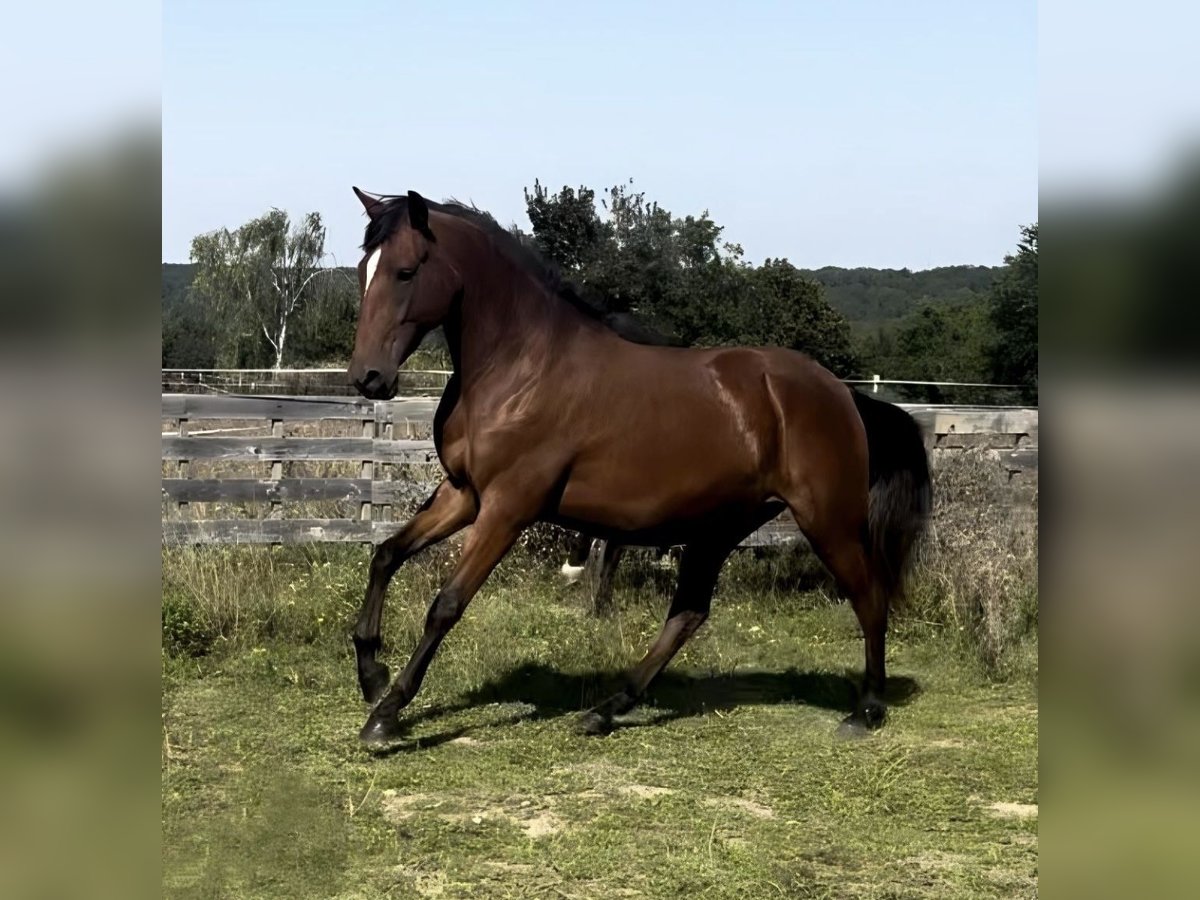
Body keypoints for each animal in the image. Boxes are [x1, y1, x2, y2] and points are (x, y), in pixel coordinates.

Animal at [345, 184, 926, 748]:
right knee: (688, 614)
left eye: (405, 271)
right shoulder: (464, 494)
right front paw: (372, 675)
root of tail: (844, 394)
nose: (367, 377)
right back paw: (605, 710)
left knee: (869, 596)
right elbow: (385, 555)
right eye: (362, 268)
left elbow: (447, 604)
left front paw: (386, 716)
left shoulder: (508, 507)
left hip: (828, 522)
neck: (520, 368)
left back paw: (866, 710)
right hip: (720, 527)